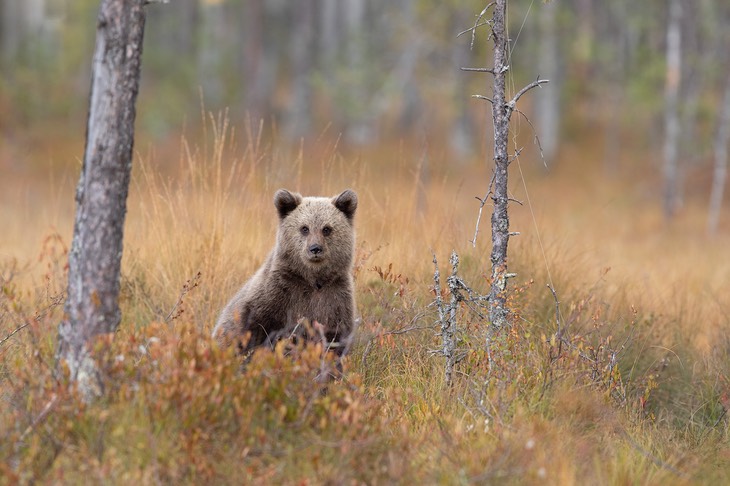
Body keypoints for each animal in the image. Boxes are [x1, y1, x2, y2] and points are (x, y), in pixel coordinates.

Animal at [212, 190, 356, 364]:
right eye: (304, 228)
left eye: (326, 229)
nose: (315, 248)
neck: (312, 280)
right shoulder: (276, 294)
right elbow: (255, 331)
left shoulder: (335, 298)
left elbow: (334, 341)